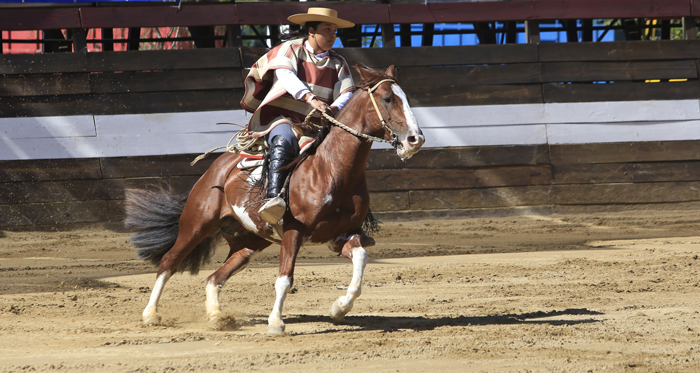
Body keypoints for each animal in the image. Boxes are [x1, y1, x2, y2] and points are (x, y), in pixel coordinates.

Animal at [123, 65, 424, 336]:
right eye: (388, 98)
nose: (415, 139)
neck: (331, 168)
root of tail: (217, 168)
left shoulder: (339, 236)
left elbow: (361, 258)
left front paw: (339, 308)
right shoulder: (294, 232)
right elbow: (284, 278)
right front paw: (276, 323)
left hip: (249, 242)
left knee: (214, 278)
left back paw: (217, 316)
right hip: (196, 224)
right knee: (169, 262)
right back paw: (151, 314)